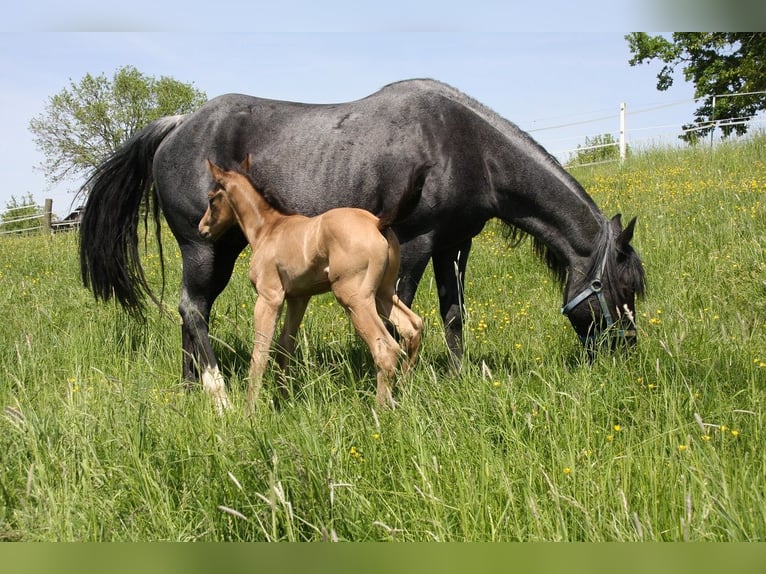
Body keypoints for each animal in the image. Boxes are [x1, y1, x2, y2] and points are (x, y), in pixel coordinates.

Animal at [198, 156, 426, 411]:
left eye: (211, 198)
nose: (202, 229)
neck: (268, 229)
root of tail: (378, 222)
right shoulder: (298, 299)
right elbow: (284, 348)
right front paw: (285, 400)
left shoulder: (269, 298)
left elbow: (260, 353)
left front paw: (250, 411)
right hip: (383, 293)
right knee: (412, 327)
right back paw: (402, 392)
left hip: (355, 299)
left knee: (385, 348)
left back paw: (379, 410)